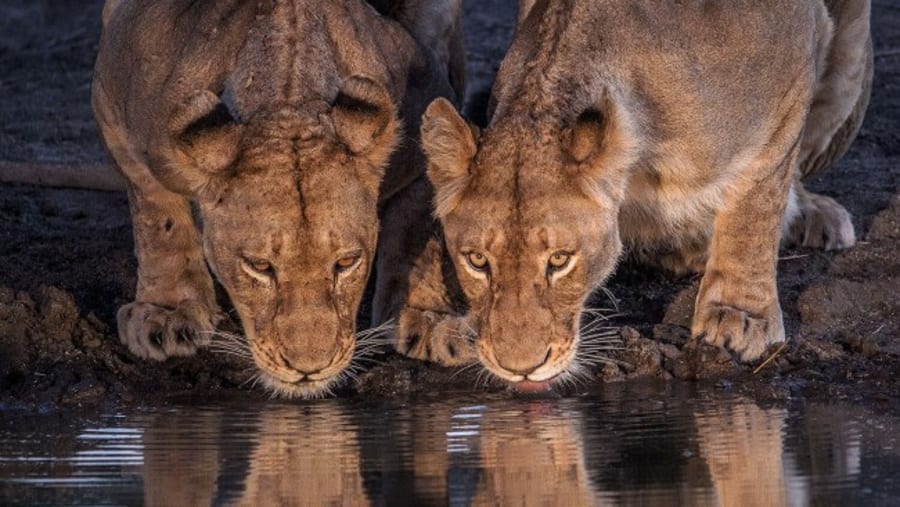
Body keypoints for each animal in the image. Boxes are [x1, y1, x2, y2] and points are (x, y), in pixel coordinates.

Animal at [91, 0, 464, 397]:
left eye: (346, 263)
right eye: (259, 266)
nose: (309, 370)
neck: (288, 100)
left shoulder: (426, 113)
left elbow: (415, 231)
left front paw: (427, 317)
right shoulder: (114, 106)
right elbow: (159, 219)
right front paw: (167, 312)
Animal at [398, 0, 872, 387]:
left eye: (560, 260)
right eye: (477, 261)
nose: (520, 369)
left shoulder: (786, 84)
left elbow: (755, 208)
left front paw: (739, 317)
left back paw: (812, 217)